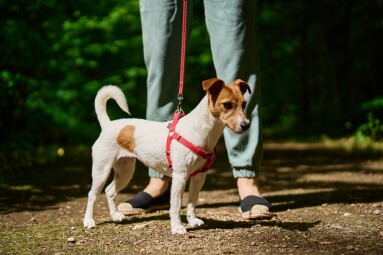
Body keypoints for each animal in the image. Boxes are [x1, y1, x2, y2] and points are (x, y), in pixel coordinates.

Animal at [83, 78, 252, 235]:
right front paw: (177, 227)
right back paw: (88, 220)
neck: (201, 132)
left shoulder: (199, 177)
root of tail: (108, 125)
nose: (246, 125)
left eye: (244, 104)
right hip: (101, 170)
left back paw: (115, 216)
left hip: (125, 171)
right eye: (227, 105)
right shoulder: (180, 176)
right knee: (92, 194)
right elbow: (176, 205)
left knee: (110, 191)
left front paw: (192, 220)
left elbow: (192, 202)